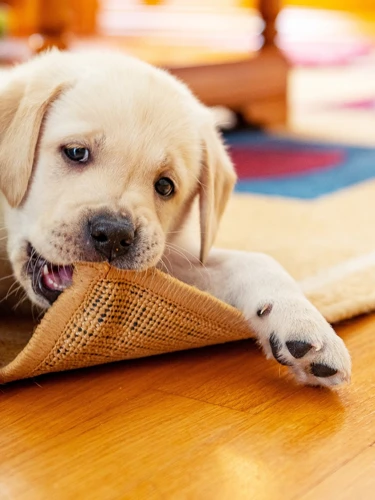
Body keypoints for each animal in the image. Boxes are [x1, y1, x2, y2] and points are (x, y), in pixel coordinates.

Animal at [0, 49, 352, 386]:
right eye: (75, 152)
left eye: (165, 186)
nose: (114, 235)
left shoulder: (167, 259)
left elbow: (256, 261)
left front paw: (304, 322)